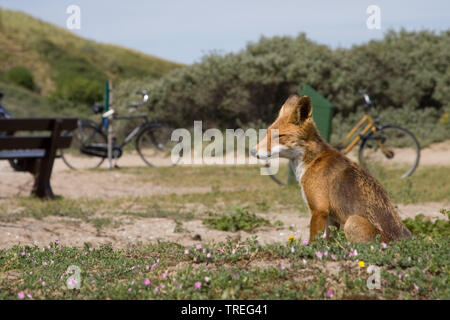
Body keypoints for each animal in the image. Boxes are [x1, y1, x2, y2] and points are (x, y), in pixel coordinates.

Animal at [251, 95, 414, 242]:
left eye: (279, 136)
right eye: (267, 133)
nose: (252, 151)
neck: (312, 162)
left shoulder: (319, 210)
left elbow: (313, 241)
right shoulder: (331, 217)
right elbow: (328, 242)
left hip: (352, 222)